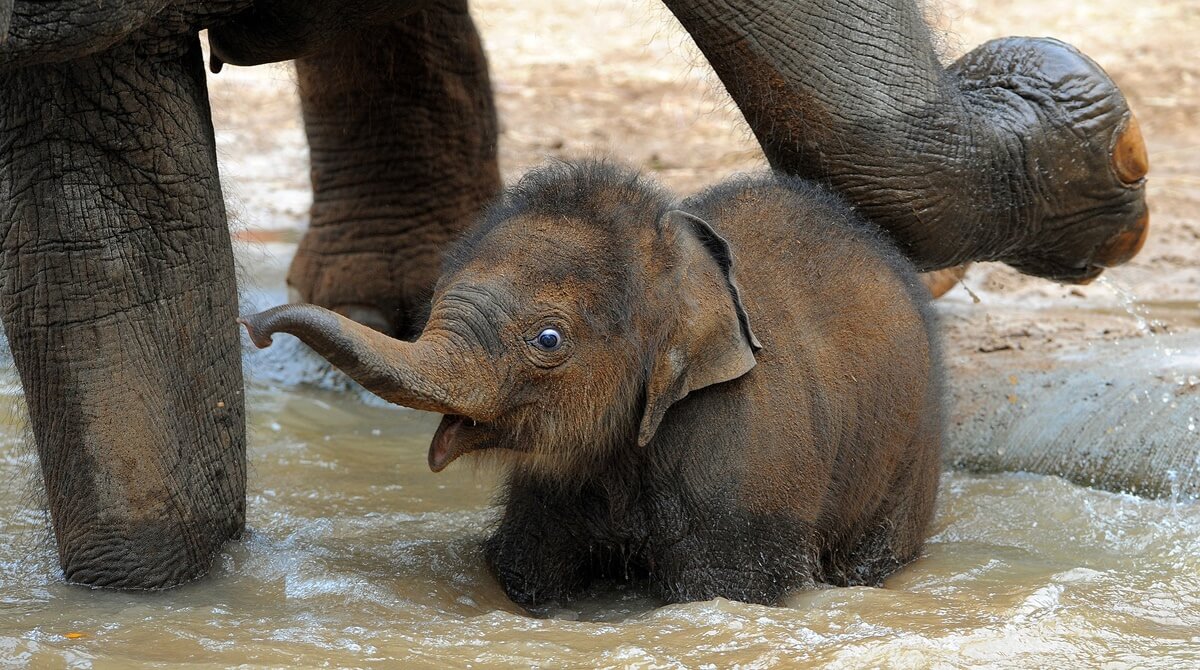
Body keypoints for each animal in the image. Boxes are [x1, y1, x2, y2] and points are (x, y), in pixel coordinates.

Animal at [238, 158, 940, 609]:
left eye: (548, 340)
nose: (255, 330)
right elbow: (528, 568)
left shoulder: (743, 470)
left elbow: (726, 589)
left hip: (908, 458)